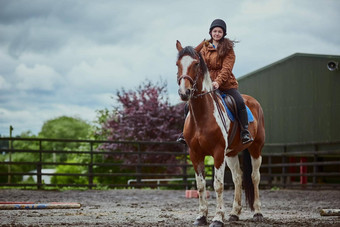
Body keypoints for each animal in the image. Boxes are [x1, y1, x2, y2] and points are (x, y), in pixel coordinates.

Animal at [175, 41, 266, 227]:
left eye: (196, 64)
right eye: (177, 64)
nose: (184, 93)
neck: (202, 116)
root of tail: (253, 101)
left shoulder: (217, 153)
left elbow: (218, 185)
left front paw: (217, 218)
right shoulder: (195, 154)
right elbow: (201, 185)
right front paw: (201, 217)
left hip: (256, 149)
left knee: (255, 177)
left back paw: (258, 213)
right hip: (231, 154)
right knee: (238, 178)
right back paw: (234, 214)